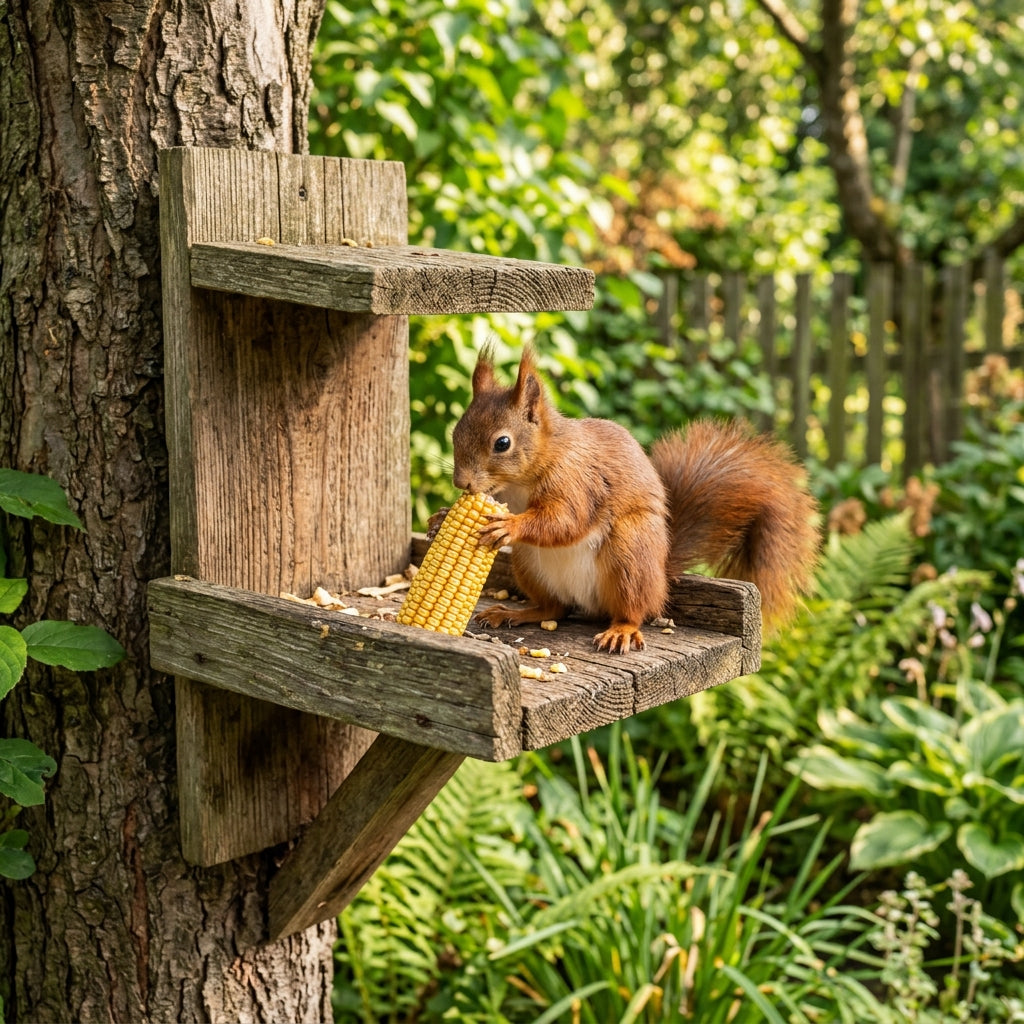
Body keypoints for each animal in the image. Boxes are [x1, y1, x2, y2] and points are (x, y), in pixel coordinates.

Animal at [451, 347, 820, 653]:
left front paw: (510, 525)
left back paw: (622, 630)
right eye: (455, 432)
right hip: (529, 564)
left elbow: (566, 520)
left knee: (634, 609)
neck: (520, 480)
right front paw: (443, 516)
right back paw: (514, 613)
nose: (461, 482)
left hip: (630, 552)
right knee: (554, 608)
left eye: (502, 443)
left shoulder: (578, 482)